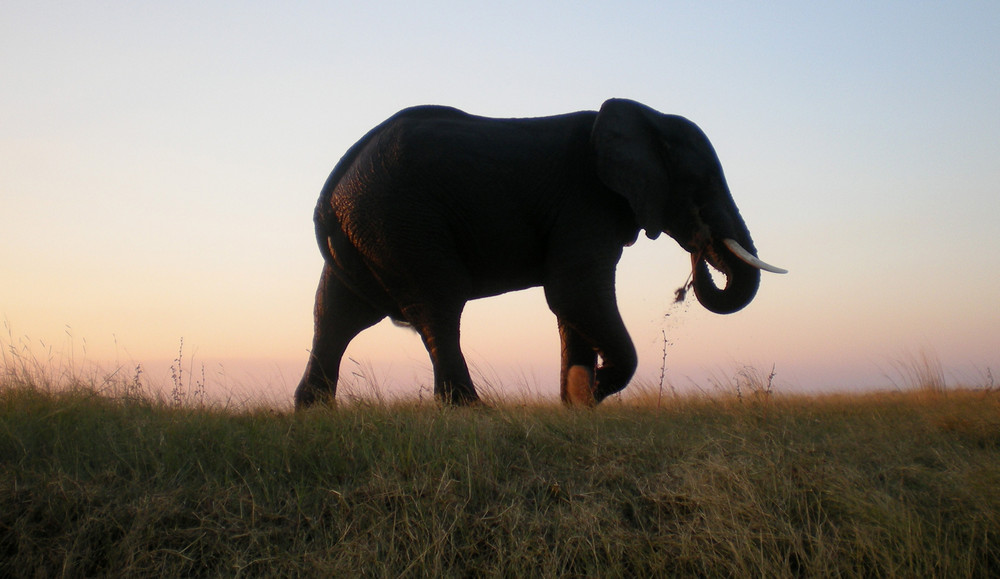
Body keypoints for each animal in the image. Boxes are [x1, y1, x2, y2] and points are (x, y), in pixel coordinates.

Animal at [292, 98, 784, 408]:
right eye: (699, 184)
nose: (700, 246)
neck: (647, 117)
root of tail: (333, 189)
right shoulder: (585, 201)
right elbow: (573, 292)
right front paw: (590, 390)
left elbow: (573, 307)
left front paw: (577, 403)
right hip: (401, 219)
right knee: (438, 305)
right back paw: (472, 412)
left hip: (370, 229)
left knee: (335, 314)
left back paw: (314, 412)